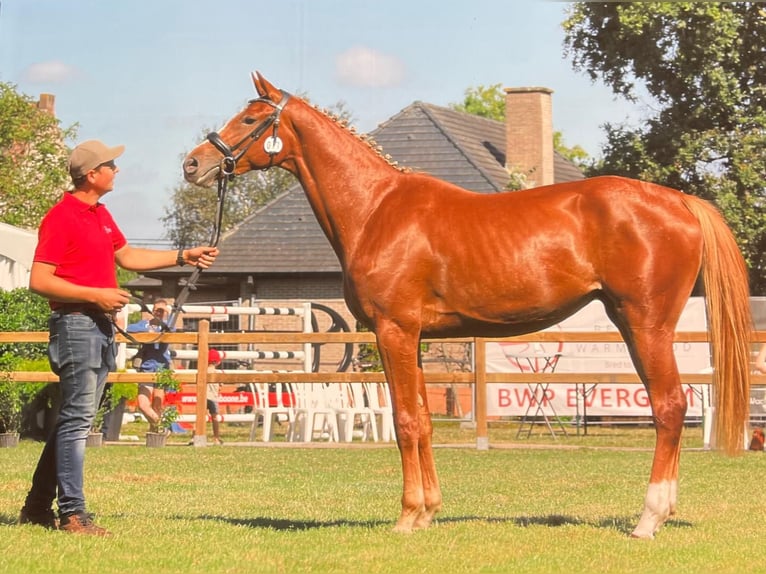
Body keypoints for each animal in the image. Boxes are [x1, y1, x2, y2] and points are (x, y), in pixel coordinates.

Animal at [183, 73, 752, 540]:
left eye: (250, 119)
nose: (194, 163)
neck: (376, 209)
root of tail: (679, 201)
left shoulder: (393, 331)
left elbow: (406, 421)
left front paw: (407, 517)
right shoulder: (410, 339)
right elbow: (422, 420)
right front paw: (428, 511)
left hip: (645, 323)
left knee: (670, 407)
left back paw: (648, 519)